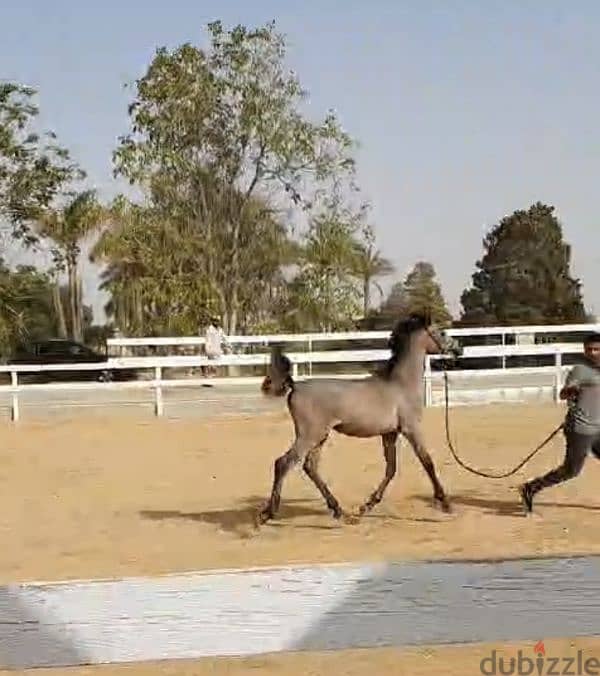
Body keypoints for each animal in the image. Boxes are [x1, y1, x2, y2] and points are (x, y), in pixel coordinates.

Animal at [256, 314, 460, 524]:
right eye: (441, 332)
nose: (458, 349)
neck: (401, 385)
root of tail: (294, 386)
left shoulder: (389, 434)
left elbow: (391, 468)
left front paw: (366, 506)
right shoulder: (411, 429)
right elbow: (427, 462)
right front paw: (446, 504)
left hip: (320, 436)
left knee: (310, 467)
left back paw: (338, 510)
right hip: (309, 435)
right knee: (283, 463)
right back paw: (268, 513)